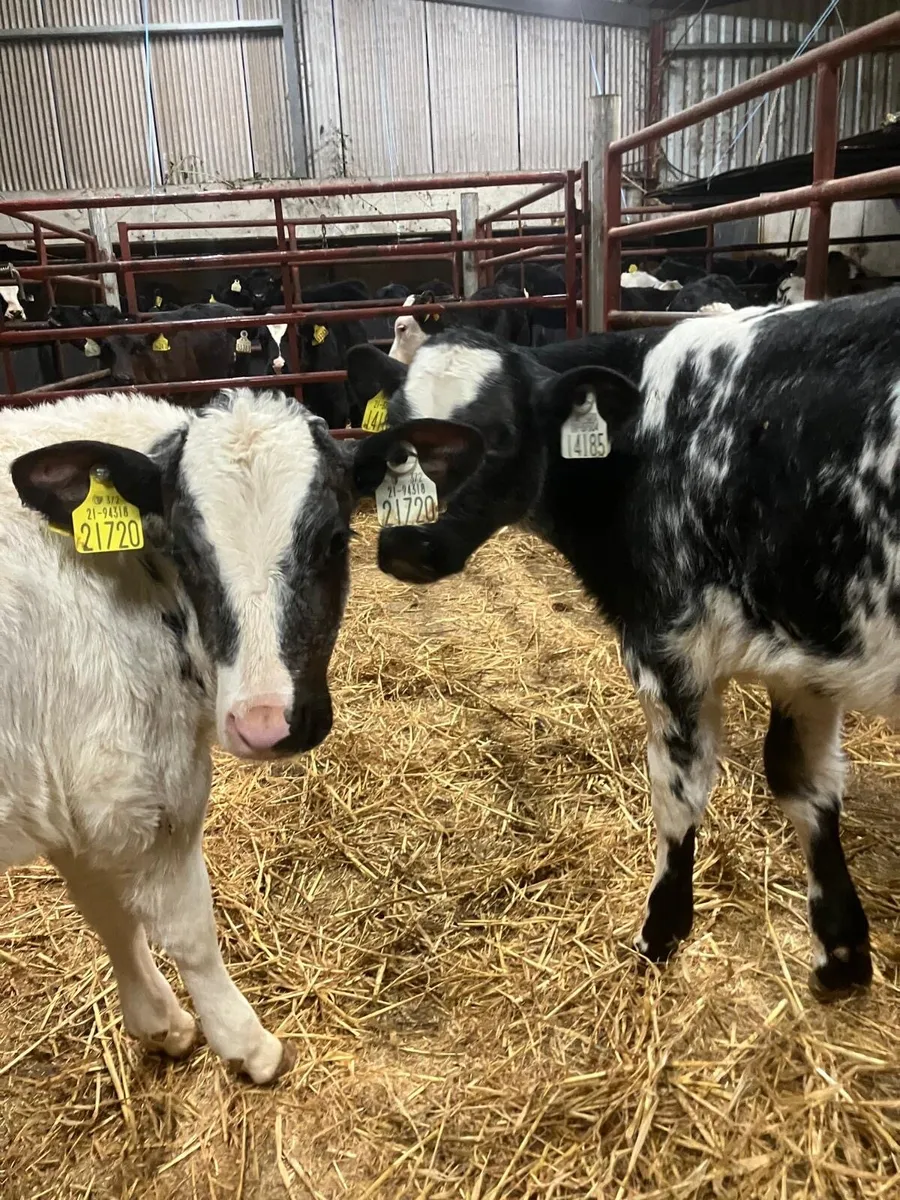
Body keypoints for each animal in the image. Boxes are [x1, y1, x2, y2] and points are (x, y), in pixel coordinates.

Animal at [1, 385, 481, 1082]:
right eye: (183, 552)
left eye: (335, 540)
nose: (263, 724)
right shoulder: (133, 791)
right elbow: (187, 932)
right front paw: (245, 1042)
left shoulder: (70, 799)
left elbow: (106, 913)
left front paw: (159, 1021)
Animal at [347, 290, 900, 1001]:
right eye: (398, 445)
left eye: (502, 435)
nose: (406, 546)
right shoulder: (802, 658)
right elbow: (804, 783)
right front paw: (842, 955)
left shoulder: (669, 644)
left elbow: (677, 791)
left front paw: (659, 934)